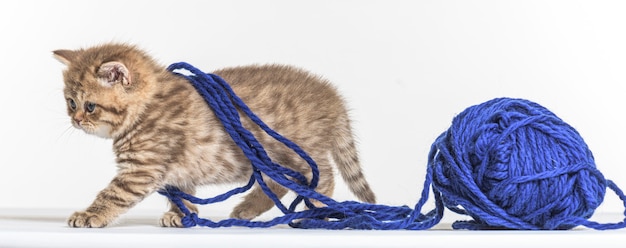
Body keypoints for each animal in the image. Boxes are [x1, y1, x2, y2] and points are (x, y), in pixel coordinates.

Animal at [53, 43, 372, 228]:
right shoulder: (177, 169)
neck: (145, 108)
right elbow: (181, 190)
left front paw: (91, 214)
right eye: (70, 103)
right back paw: (247, 209)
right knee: (279, 183)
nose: (76, 120)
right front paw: (181, 214)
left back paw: (316, 209)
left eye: (90, 106)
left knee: (324, 176)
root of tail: (332, 96)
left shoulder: (142, 168)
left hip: (298, 151)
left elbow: (113, 194)